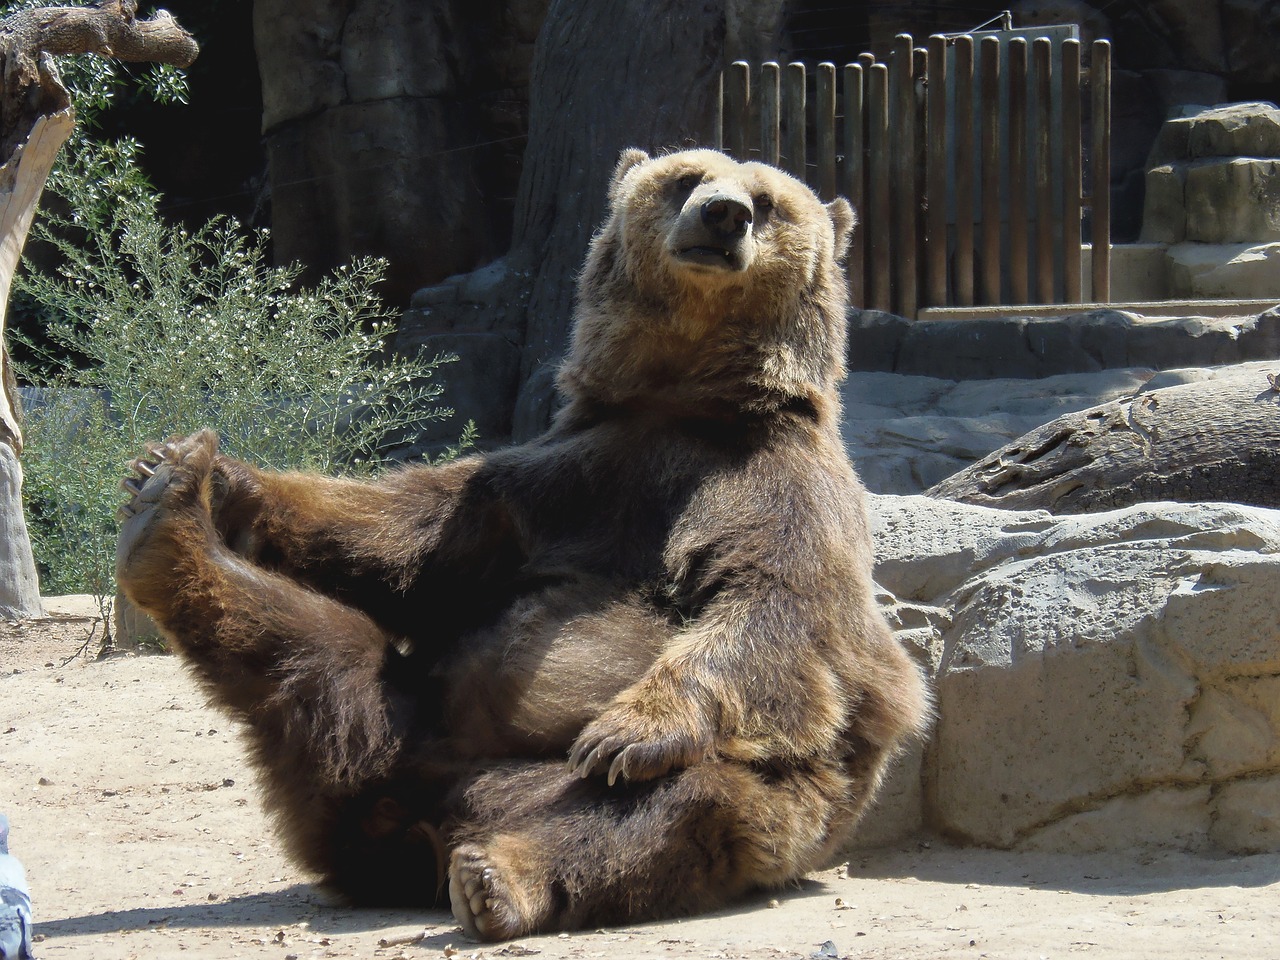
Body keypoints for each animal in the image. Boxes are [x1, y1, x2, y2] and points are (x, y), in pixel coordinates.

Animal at [115, 147, 931, 941]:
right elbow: (409, 536)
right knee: (315, 653)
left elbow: (773, 608)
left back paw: (498, 878)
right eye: (686, 178)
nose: (724, 215)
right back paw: (167, 520)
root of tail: (431, 821)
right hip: (402, 724)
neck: (686, 399)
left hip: (734, 800)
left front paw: (630, 729)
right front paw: (204, 470)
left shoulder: (775, 491)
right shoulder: (568, 478)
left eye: (768, 200)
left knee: (655, 811)